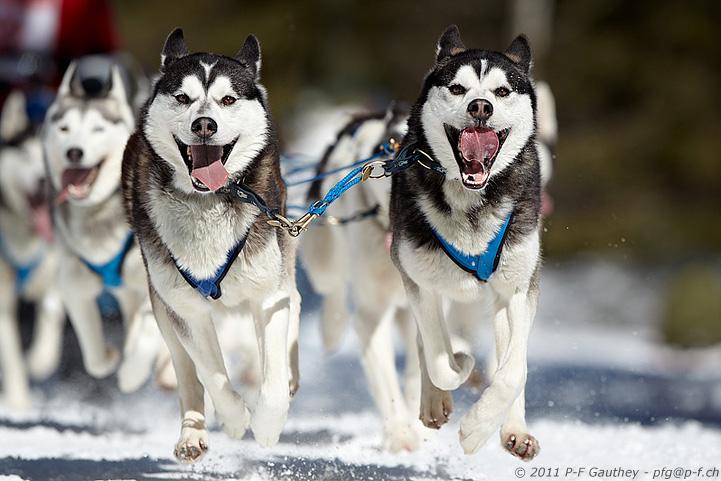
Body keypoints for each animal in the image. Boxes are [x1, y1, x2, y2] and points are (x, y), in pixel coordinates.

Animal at [43, 56, 172, 394]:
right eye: (64, 128)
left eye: (98, 129)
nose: (74, 152)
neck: (97, 212)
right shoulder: (75, 286)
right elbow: (94, 359)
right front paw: (112, 358)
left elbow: (149, 335)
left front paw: (131, 374)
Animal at [122, 29, 300, 462]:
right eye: (183, 97)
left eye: (228, 99)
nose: (204, 124)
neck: (209, 200)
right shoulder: (185, 309)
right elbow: (212, 373)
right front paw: (235, 419)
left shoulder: (269, 296)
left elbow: (271, 380)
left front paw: (266, 425)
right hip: (163, 309)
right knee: (189, 375)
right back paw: (193, 432)